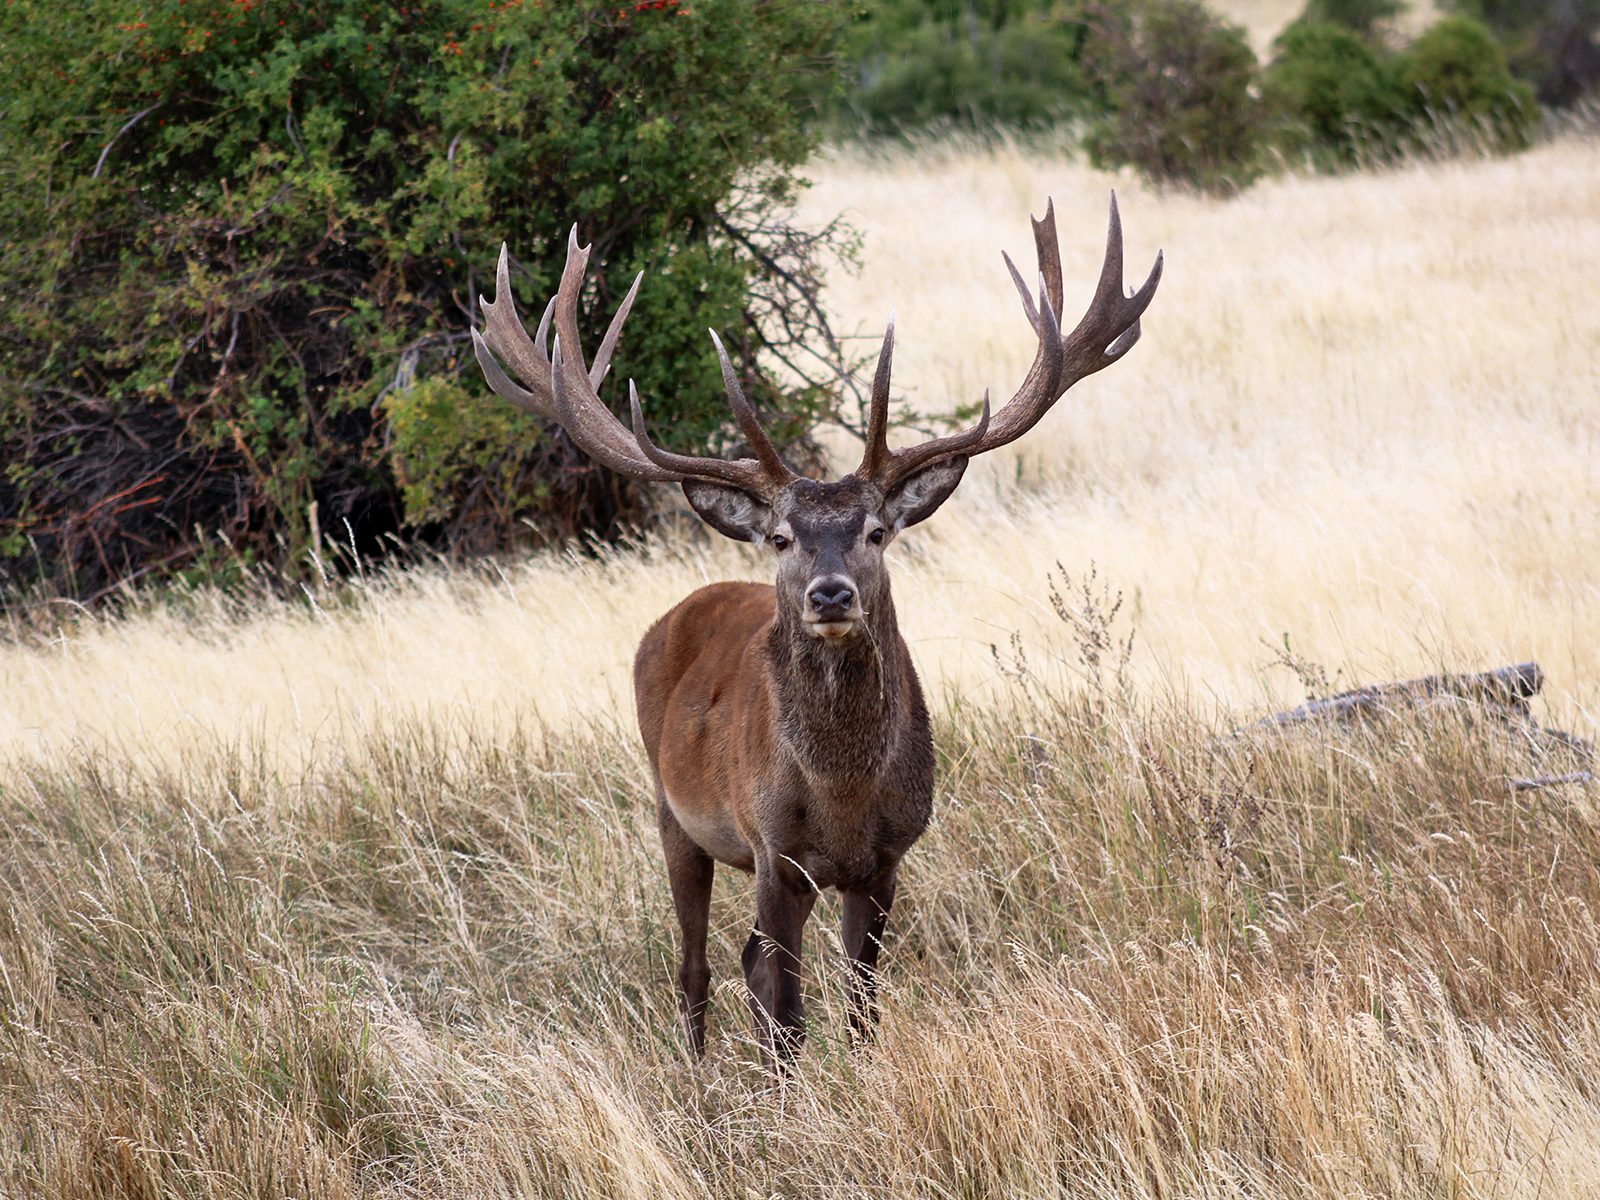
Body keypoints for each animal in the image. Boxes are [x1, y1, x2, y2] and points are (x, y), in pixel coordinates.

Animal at [471, 196, 1161, 1066]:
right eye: (781, 537)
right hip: (671, 809)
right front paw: (785, 1092)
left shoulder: (889, 856)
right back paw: (698, 1074)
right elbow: (788, 1007)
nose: (831, 595)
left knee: (740, 963)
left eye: (875, 531)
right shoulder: (773, 849)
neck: (841, 796)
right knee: (696, 966)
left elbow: (862, 1004)